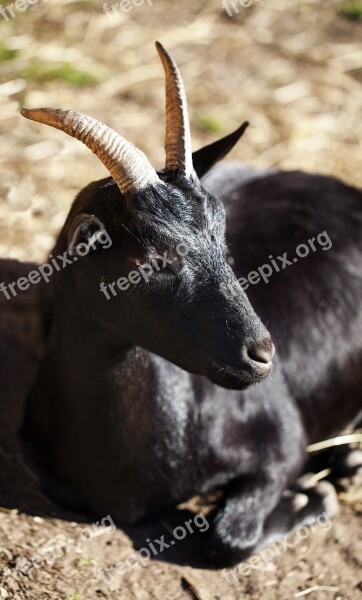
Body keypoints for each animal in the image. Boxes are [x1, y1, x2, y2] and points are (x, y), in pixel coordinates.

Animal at [20, 44, 362, 564]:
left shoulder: (282, 439)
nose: (262, 354)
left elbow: (227, 539)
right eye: (151, 259)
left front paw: (310, 496)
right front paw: (312, 495)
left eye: (223, 235)